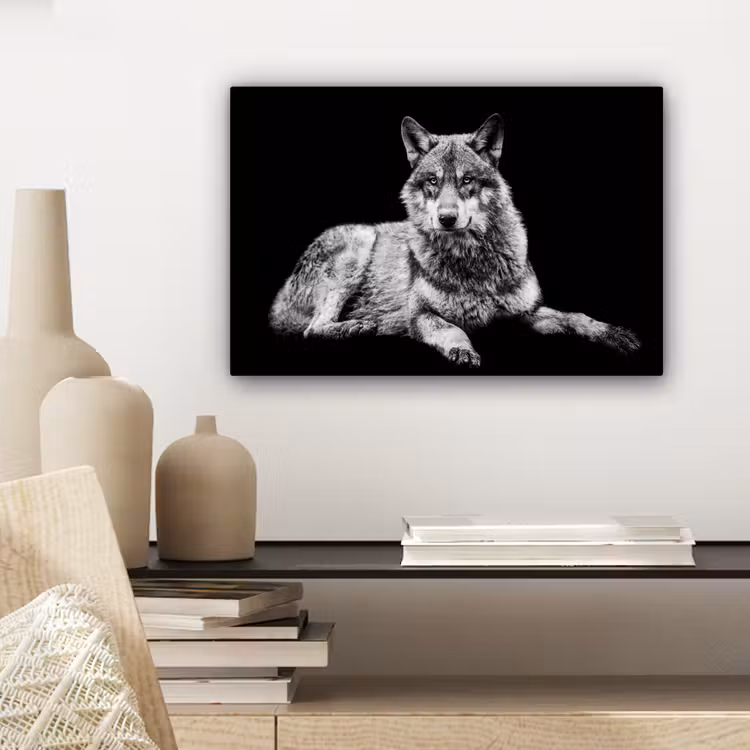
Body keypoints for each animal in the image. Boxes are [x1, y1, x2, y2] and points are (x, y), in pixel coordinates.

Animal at [269, 114, 640, 368]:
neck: (472, 261)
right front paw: (463, 350)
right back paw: (357, 327)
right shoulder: (421, 316)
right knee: (312, 329)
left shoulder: (527, 312)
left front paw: (614, 334)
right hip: (359, 244)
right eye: (433, 181)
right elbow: (452, 330)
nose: (446, 218)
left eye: (467, 180)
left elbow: (576, 317)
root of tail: (279, 298)